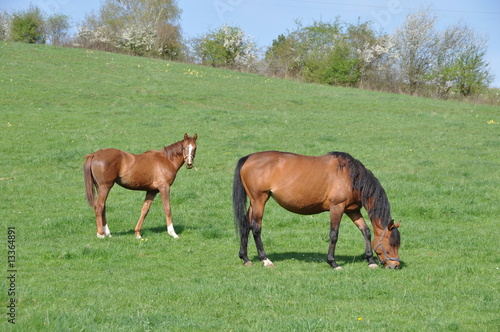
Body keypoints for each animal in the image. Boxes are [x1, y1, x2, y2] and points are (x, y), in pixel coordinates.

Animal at [232, 150, 400, 270]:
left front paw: (370, 260)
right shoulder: (337, 208)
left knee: (245, 225)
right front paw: (333, 262)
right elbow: (334, 235)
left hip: (254, 202)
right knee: (256, 228)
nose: (395, 266)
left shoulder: (352, 210)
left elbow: (365, 231)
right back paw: (265, 260)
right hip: (259, 200)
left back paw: (245, 258)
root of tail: (248, 158)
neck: (350, 176)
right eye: (391, 244)